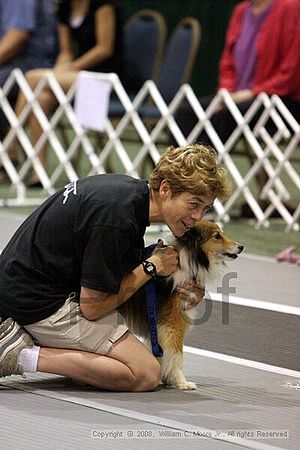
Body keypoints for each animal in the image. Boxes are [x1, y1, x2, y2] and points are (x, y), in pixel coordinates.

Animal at [118, 220, 243, 388]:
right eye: (217, 236)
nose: (241, 247)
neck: (190, 258)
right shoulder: (172, 323)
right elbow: (176, 354)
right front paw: (181, 381)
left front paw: (166, 378)